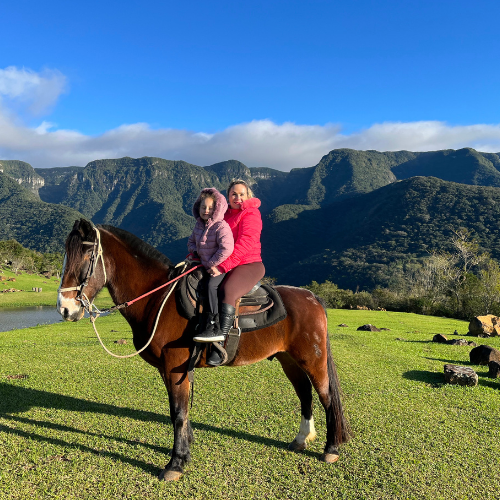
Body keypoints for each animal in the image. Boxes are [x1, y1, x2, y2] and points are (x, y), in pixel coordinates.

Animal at [56, 219, 352, 480]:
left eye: (86, 256)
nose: (65, 309)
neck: (158, 298)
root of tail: (312, 297)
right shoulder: (169, 370)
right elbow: (179, 412)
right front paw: (185, 449)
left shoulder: (175, 368)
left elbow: (178, 413)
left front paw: (175, 463)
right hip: (287, 358)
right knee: (304, 393)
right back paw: (301, 439)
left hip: (312, 358)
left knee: (326, 396)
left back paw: (331, 448)